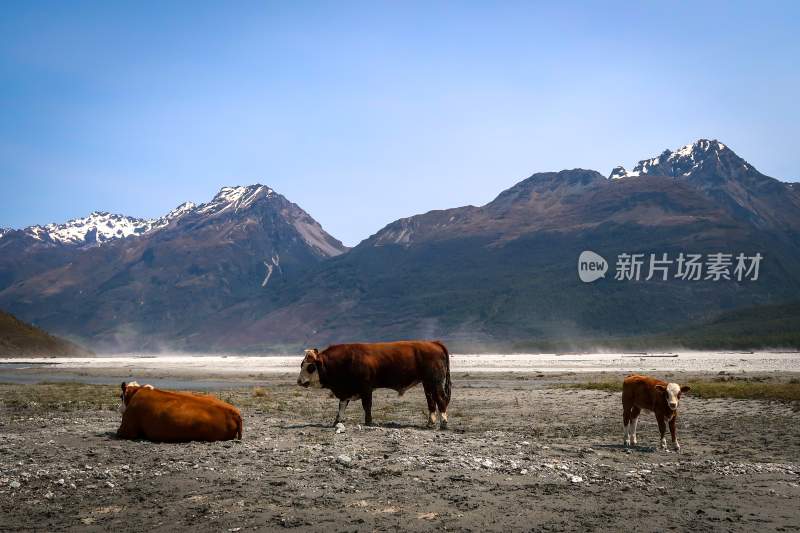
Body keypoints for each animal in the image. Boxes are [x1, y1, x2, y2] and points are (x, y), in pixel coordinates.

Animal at [298, 340, 454, 428]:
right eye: (301, 364)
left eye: (310, 367)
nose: (299, 381)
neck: (345, 360)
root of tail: (434, 343)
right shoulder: (345, 390)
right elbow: (341, 406)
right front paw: (337, 422)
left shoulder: (366, 388)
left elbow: (367, 405)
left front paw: (368, 422)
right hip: (427, 384)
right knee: (431, 401)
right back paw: (430, 422)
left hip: (435, 382)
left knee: (440, 399)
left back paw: (444, 423)